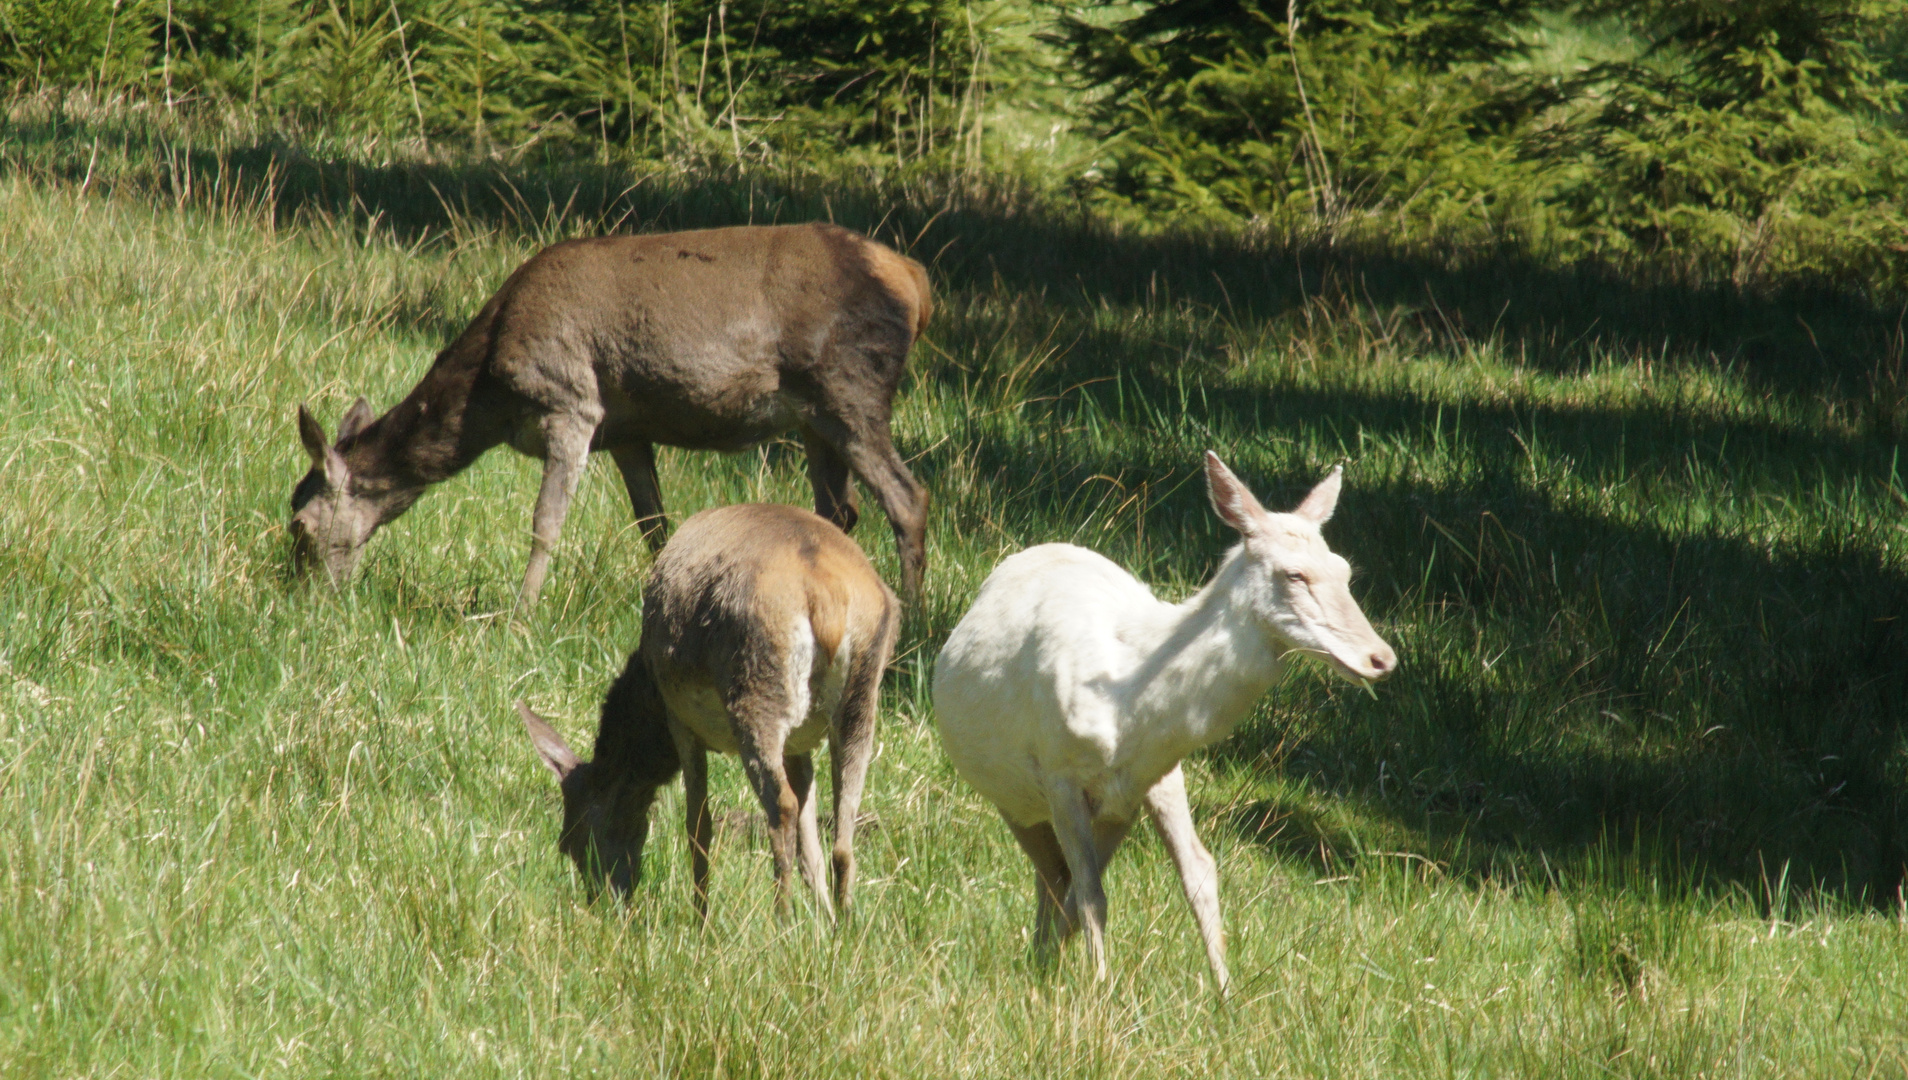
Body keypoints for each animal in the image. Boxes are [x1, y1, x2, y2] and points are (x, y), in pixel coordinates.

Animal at [288, 222, 931, 610]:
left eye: (300, 524)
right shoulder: (627, 431)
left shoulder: (572, 401)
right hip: (814, 419)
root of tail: (916, 283)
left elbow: (545, 522)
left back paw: (915, 618)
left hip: (851, 388)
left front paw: (520, 614)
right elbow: (655, 527)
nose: (303, 598)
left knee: (908, 497)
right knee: (840, 511)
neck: (487, 398)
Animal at [522, 499, 900, 923]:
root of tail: (827, 598)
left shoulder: (680, 721)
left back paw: (781, 919)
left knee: (782, 805)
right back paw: (845, 924)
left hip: (756, 692)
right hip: (861, 698)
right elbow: (810, 838)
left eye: (571, 841)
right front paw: (822, 919)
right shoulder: (799, 745)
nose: (604, 904)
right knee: (843, 826)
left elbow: (697, 824)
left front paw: (700, 921)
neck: (649, 699)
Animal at [931, 452, 1396, 992]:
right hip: (1014, 796)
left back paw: (1043, 961)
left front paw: (1226, 994)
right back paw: (1042, 960)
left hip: (1103, 808)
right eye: (1294, 574)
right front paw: (1101, 990)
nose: (1381, 658)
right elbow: (1091, 894)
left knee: (1057, 878)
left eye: (1345, 570)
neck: (1128, 704)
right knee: (1055, 874)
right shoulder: (1059, 769)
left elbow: (1199, 873)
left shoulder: (1157, 776)